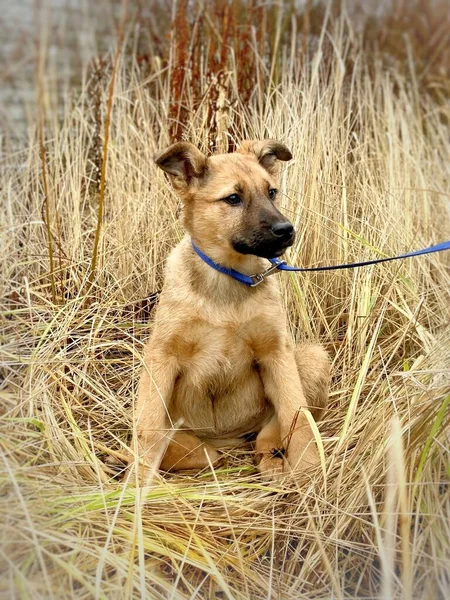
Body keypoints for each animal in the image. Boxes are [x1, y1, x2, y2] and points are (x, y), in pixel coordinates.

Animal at [130, 138, 330, 480]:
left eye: (272, 192)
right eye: (233, 199)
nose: (286, 230)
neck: (229, 276)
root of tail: (227, 440)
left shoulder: (275, 352)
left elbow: (297, 414)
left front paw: (308, 467)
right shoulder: (161, 357)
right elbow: (149, 430)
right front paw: (137, 484)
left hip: (312, 358)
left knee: (273, 427)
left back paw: (272, 458)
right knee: (195, 451)